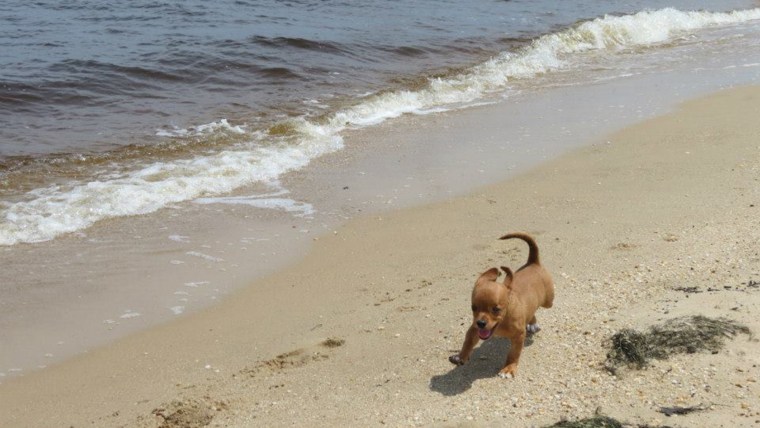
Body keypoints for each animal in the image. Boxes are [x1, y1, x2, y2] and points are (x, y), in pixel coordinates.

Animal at [452, 234, 552, 378]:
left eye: (496, 309)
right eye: (473, 308)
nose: (481, 323)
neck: (503, 321)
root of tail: (533, 262)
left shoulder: (518, 336)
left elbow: (514, 354)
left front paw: (509, 368)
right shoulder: (474, 329)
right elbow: (468, 340)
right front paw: (461, 356)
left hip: (549, 301)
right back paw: (532, 322)